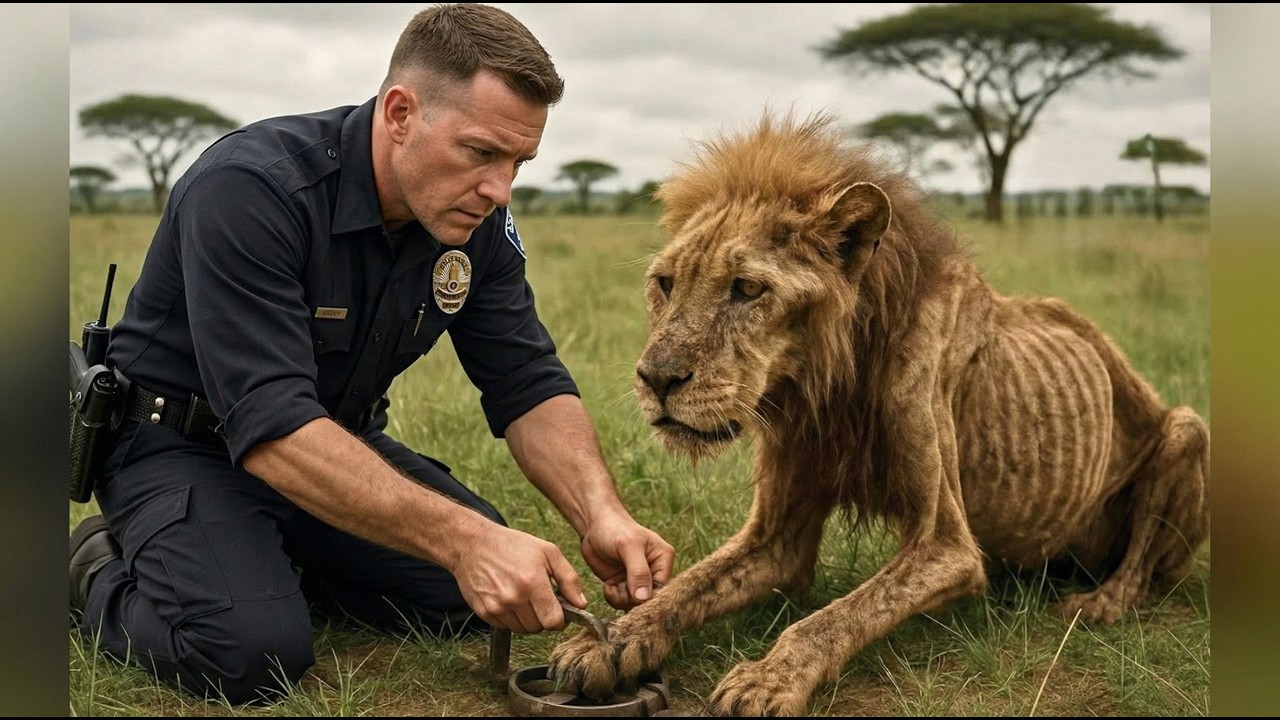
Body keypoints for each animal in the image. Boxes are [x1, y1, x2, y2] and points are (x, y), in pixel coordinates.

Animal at [548, 110, 1210, 716]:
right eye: (664, 282)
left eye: (748, 289)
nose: (657, 379)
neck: (826, 381)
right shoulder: (777, 537)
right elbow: (689, 585)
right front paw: (610, 637)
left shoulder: (947, 547)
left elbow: (833, 618)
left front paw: (766, 681)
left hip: (1184, 428)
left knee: (1144, 557)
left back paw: (1100, 604)